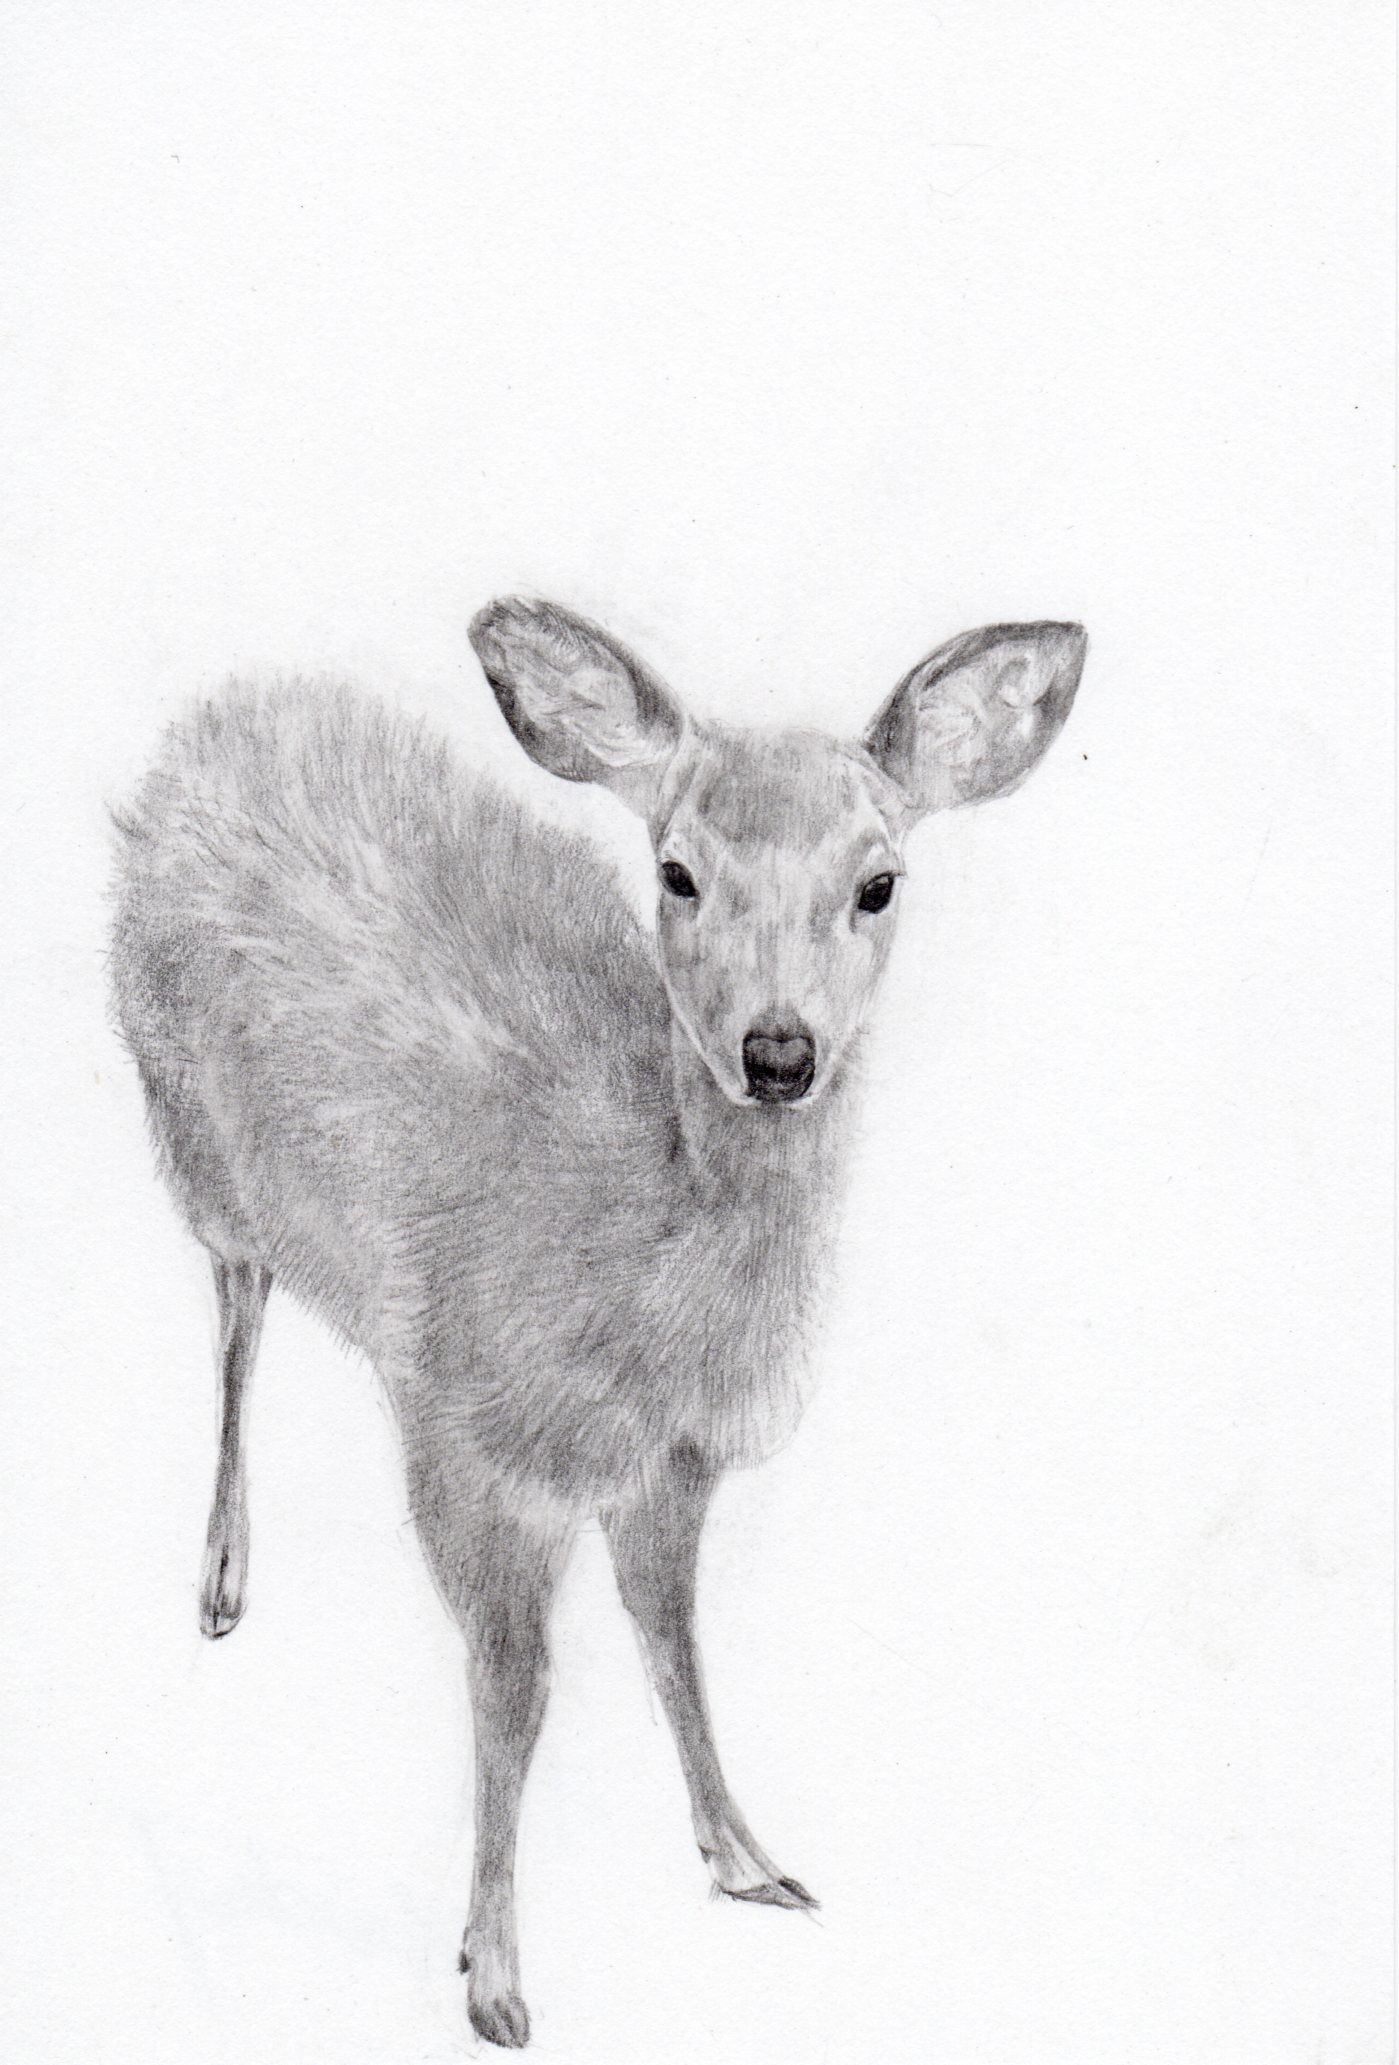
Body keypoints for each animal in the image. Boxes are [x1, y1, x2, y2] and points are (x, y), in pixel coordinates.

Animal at [110, 597, 1086, 2049]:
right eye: (676, 872)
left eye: (878, 882)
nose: (777, 1052)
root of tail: (214, 718)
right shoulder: (468, 1438)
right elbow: (514, 1697)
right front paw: (494, 1977)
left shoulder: (669, 1464)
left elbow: (672, 1638)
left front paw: (745, 1857)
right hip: (187, 1126)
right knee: (236, 1302)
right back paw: (223, 1579)